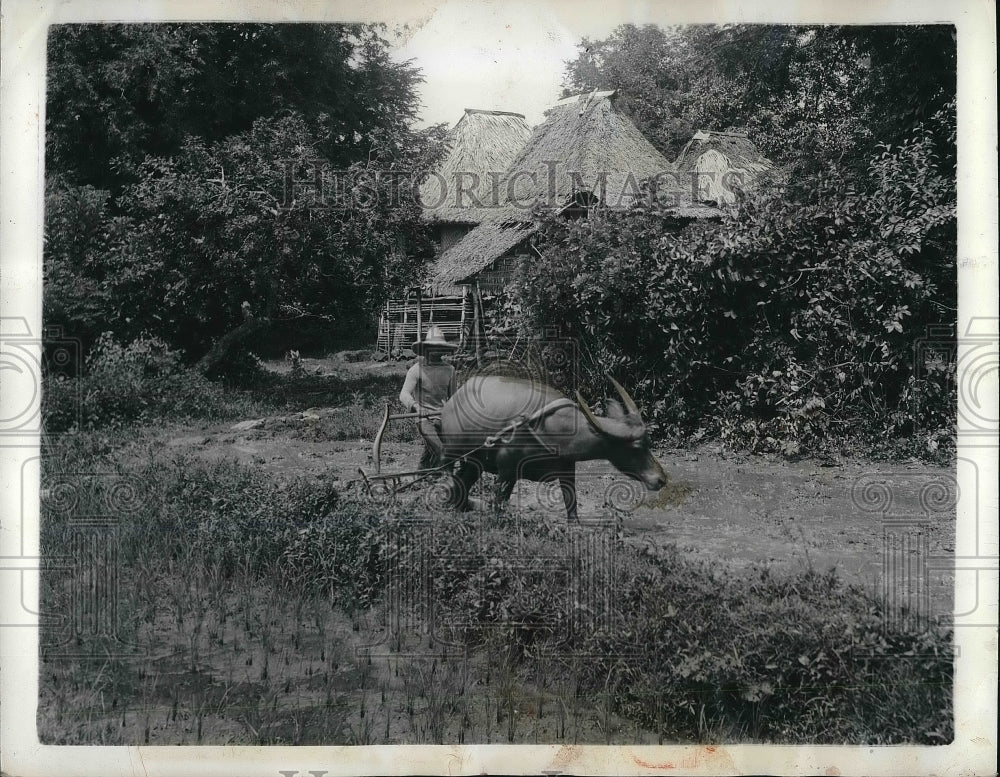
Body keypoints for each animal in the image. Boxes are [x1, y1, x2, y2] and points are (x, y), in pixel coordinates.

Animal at [442, 372, 668, 520]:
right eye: (636, 448)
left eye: (649, 443)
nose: (661, 479)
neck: (554, 427)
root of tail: (456, 395)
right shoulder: (506, 471)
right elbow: (498, 505)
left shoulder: (567, 469)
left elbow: (572, 504)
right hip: (450, 452)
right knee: (449, 474)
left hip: (475, 460)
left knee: (463, 480)